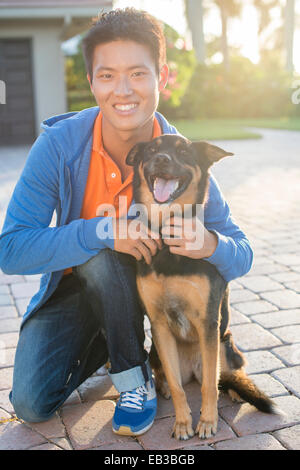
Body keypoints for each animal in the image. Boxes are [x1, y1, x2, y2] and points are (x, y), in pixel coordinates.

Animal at [125, 133, 276, 440]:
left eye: (183, 151)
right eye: (151, 149)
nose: (161, 159)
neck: (168, 233)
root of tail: (193, 368)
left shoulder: (208, 321)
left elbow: (209, 386)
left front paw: (207, 422)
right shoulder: (159, 324)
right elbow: (177, 387)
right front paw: (183, 423)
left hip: (225, 344)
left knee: (225, 376)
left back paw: (235, 390)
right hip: (156, 350)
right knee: (171, 376)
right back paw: (162, 388)